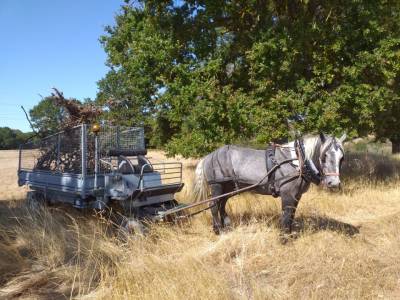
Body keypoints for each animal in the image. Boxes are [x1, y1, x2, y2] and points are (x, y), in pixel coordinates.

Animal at [194, 134, 344, 234]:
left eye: (342, 158)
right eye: (324, 156)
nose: (334, 183)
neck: (298, 161)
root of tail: (208, 156)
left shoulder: (296, 195)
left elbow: (291, 214)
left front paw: (289, 234)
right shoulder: (287, 194)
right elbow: (286, 215)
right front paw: (284, 238)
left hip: (228, 187)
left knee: (222, 205)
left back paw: (226, 226)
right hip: (217, 186)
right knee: (214, 206)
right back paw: (219, 230)